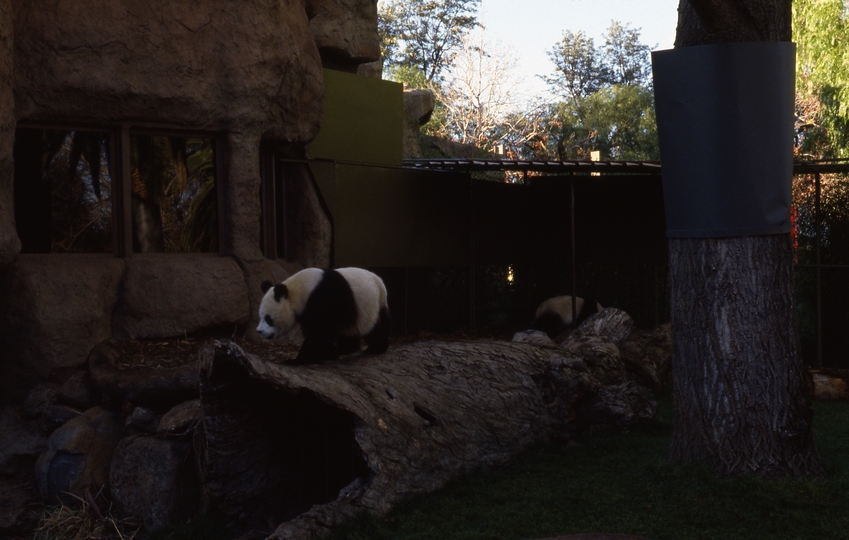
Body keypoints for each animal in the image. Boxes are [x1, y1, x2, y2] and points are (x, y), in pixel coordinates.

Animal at [258, 268, 390, 364]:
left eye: (268, 319)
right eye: (260, 316)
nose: (259, 331)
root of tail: (380, 281)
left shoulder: (322, 299)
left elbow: (318, 333)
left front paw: (297, 360)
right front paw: (328, 353)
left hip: (373, 306)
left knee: (377, 327)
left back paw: (376, 348)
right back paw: (344, 349)